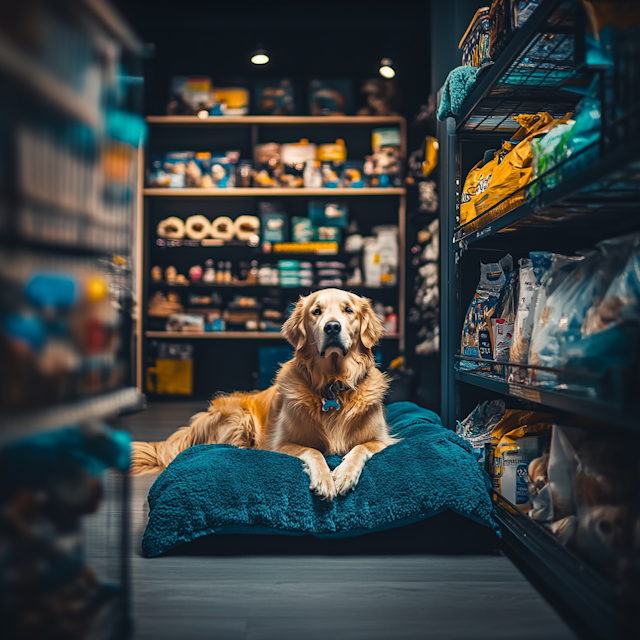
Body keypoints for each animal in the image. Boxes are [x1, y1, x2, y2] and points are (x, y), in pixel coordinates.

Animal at [131, 290, 396, 500]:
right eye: (316, 311)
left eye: (348, 310)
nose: (332, 326)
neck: (333, 384)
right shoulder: (280, 443)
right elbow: (314, 451)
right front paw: (324, 479)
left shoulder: (383, 439)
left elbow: (359, 448)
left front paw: (343, 476)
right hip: (238, 415)